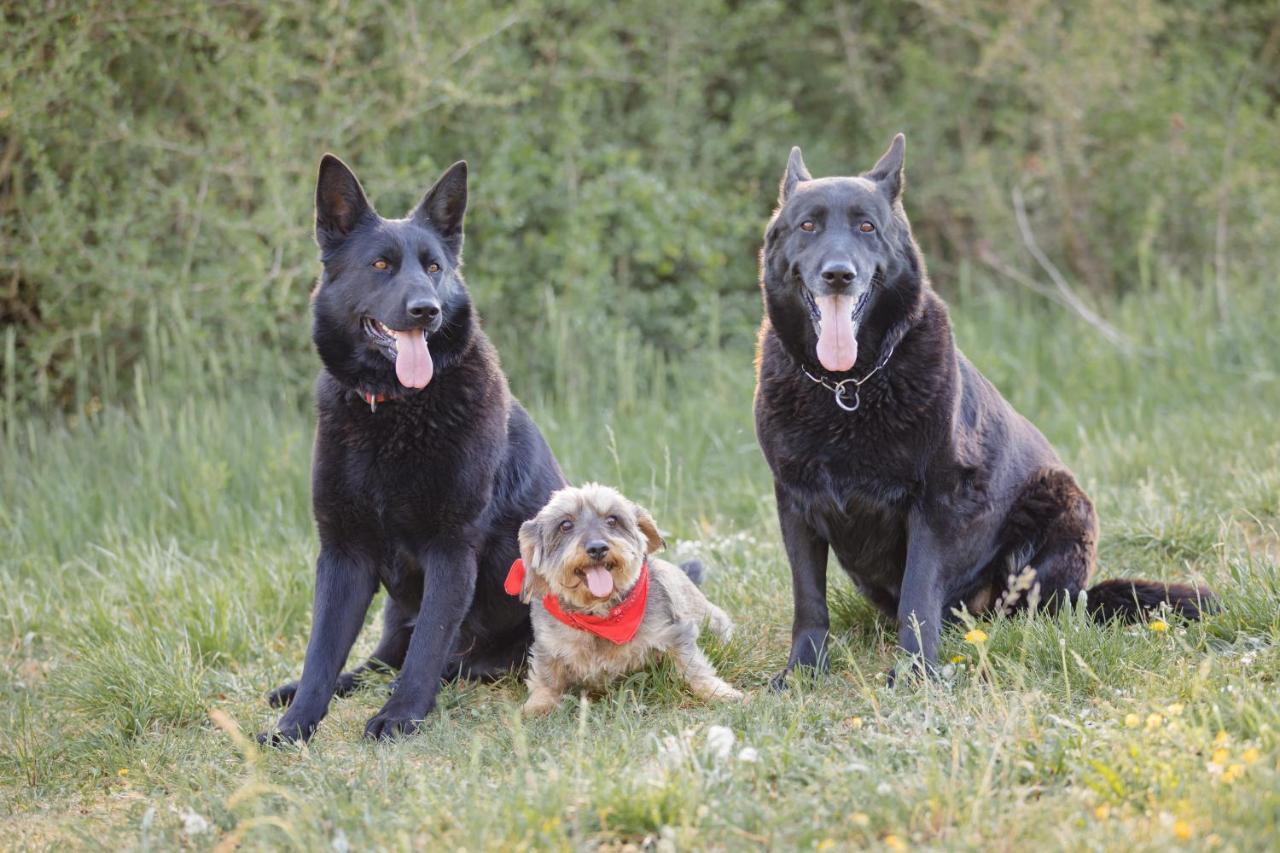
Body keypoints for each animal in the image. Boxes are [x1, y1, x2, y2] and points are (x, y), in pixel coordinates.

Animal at [259, 156, 560, 742]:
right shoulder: (343, 555)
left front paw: (400, 716)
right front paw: (296, 724)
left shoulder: (450, 550)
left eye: (435, 267)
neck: (395, 411)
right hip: (394, 611)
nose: (427, 310)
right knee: (378, 659)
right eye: (380, 265)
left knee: (436, 658)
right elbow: (321, 652)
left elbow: (427, 648)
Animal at [506, 481, 747, 712]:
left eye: (613, 520)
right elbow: (547, 680)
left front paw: (718, 692)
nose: (597, 548)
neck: (600, 617)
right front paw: (538, 705)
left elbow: (693, 668)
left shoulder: (675, 633)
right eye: (565, 525)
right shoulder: (547, 648)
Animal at [747, 134, 1208, 686]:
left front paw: (916, 674)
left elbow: (917, 597)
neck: (848, 386)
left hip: (1060, 505)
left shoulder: (934, 503)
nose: (839, 274)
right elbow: (809, 601)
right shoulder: (795, 504)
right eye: (808, 226)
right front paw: (803, 672)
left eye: (866, 227)